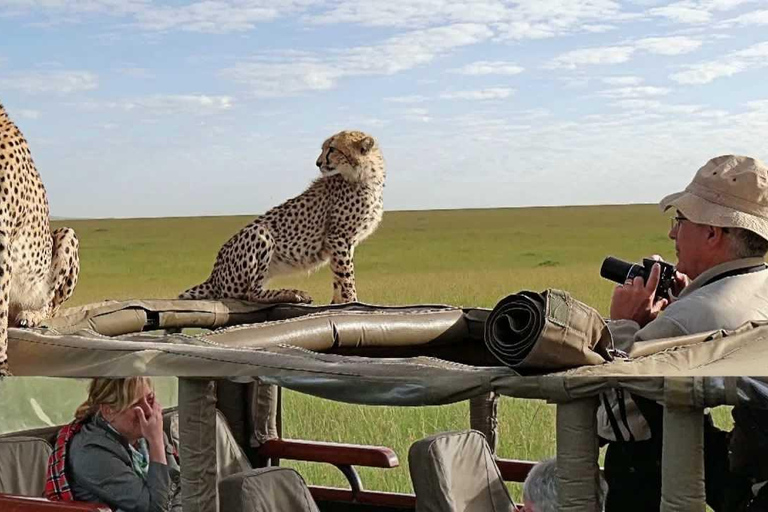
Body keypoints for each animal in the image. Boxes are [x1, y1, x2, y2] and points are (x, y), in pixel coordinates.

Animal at [179, 132, 384, 306]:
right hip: (259, 232)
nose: (318, 163)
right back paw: (291, 293)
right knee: (250, 293)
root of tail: (214, 274)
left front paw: (337, 302)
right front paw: (352, 302)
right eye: (325, 148)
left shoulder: (341, 242)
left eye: (332, 149)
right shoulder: (338, 237)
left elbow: (338, 275)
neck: (365, 175)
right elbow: (346, 275)